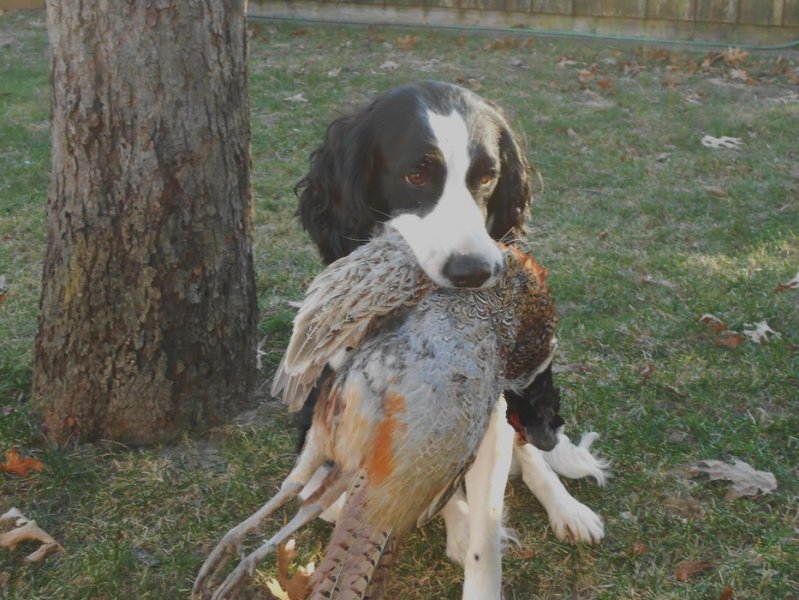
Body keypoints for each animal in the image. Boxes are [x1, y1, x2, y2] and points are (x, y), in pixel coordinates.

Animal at [294, 81, 608, 600]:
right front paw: (453, 523)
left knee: (530, 455)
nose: (476, 271)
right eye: (416, 174)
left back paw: (567, 508)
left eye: (488, 177)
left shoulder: (490, 422)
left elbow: (487, 539)